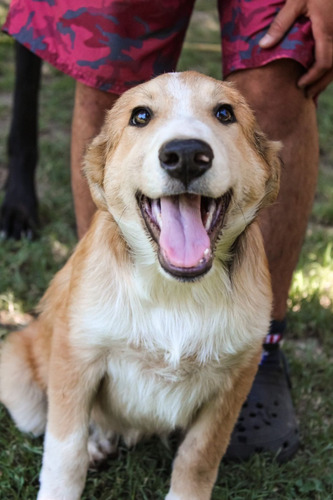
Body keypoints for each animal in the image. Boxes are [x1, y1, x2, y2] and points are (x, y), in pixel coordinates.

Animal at [0, 71, 278, 500]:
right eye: (141, 116)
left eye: (225, 113)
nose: (186, 154)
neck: (176, 292)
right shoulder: (76, 355)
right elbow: (65, 449)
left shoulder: (235, 379)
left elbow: (199, 457)